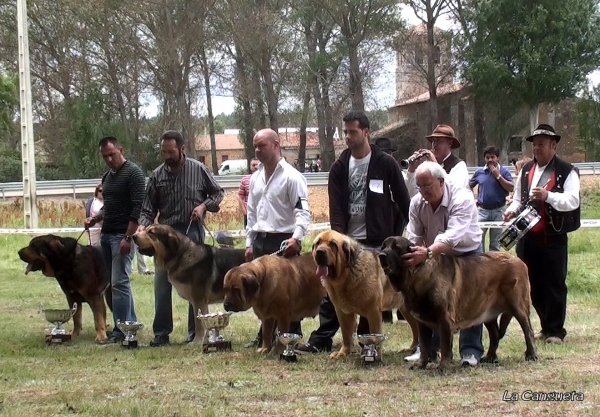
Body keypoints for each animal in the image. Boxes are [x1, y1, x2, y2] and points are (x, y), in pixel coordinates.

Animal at [310, 229, 418, 360]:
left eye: (333, 244)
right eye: (318, 243)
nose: (320, 251)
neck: (346, 274)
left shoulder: (373, 311)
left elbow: (375, 335)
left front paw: (376, 356)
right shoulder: (342, 312)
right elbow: (346, 334)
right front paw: (343, 353)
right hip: (407, 310)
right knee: (416, 329)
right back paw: (411, 349)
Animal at [380, 236, 540, 368]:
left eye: (396, 247)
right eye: (383, 246)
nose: (381, 255)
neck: (416, 275)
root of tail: (517, 260)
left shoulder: (444, 319)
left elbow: (445, 345)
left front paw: (443, 366)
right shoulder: (422, 323)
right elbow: (424, 346)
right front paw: (421, 364)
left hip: (518, 306)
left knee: (528, 331)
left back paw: (532, 355)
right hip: (487, 312)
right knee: (494, 335)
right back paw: (490, 357)